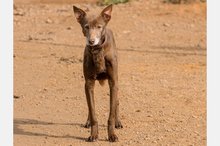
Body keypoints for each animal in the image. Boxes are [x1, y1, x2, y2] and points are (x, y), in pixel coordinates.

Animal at [73, 4, 123, 142]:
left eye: (99, 27)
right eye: (86, 26)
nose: (91, 41)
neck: (98, 52)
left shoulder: (113, 82)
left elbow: (111, 114)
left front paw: (112, 135)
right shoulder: (88, 84)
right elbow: (92, 110)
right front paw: (93, 134)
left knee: (116, 102)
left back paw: (118, 122)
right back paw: (87, 121)